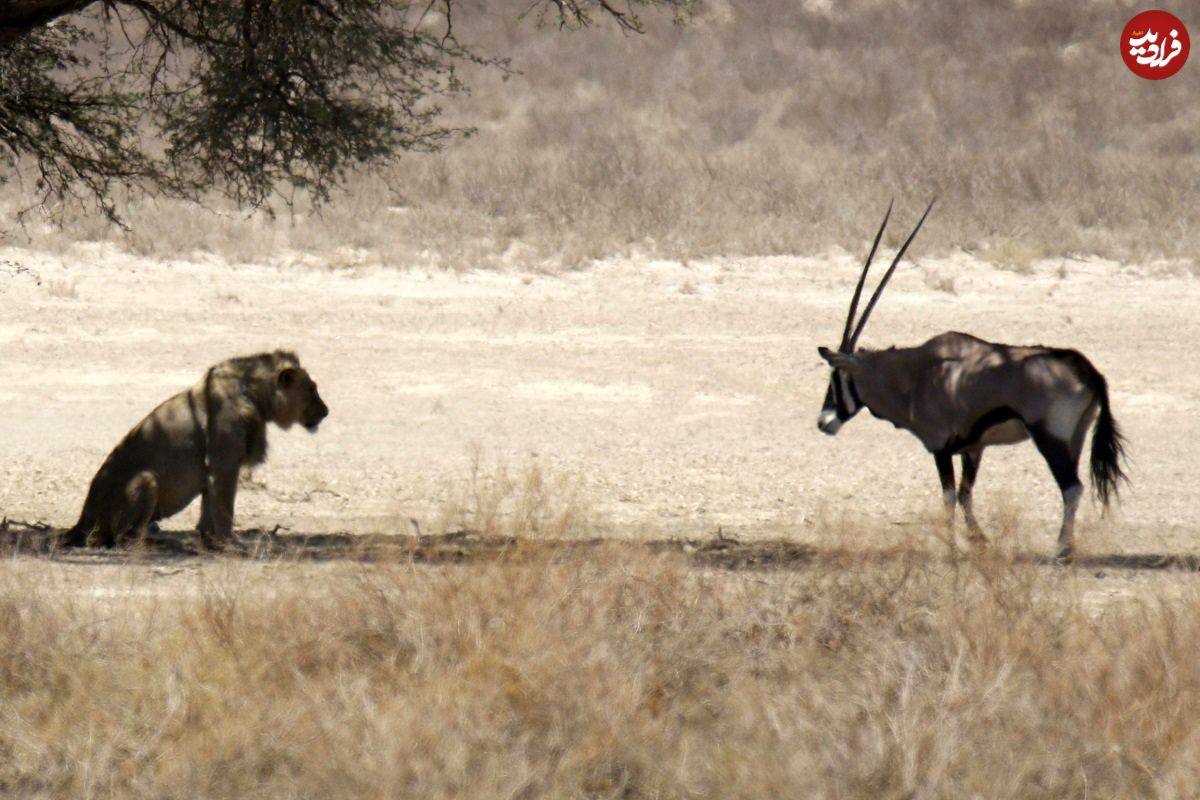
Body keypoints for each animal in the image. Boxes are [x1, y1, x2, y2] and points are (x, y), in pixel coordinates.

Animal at [60, 350, 328, 551]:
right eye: (312, 390)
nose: (326, 412)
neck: (256, 398)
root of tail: (82, 519)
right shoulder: (224, 464)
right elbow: (224, 508)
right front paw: (229, 544)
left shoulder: (215, 469)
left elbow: (209, 509)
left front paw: (209, 542)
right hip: (147, 479)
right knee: (122, 539)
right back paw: (159, 542)